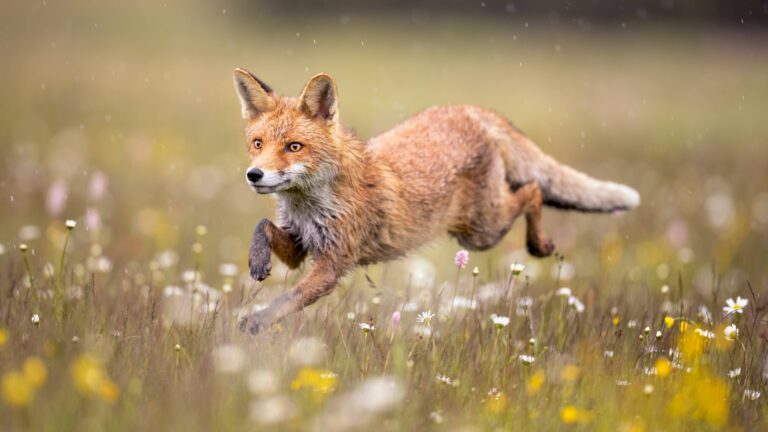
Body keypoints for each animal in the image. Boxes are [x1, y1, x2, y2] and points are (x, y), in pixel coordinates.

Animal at [233, 68, 640, 335]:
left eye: (294, 147)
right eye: (258, 144)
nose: (254, 175)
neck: (310, 203)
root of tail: (471, 109)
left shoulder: (333, 264)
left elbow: (289, 299)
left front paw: (256, 321)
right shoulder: (300, 245)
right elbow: (263, 227)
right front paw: (257, 261)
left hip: (481, 231)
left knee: (533, 191)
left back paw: (540, 244)